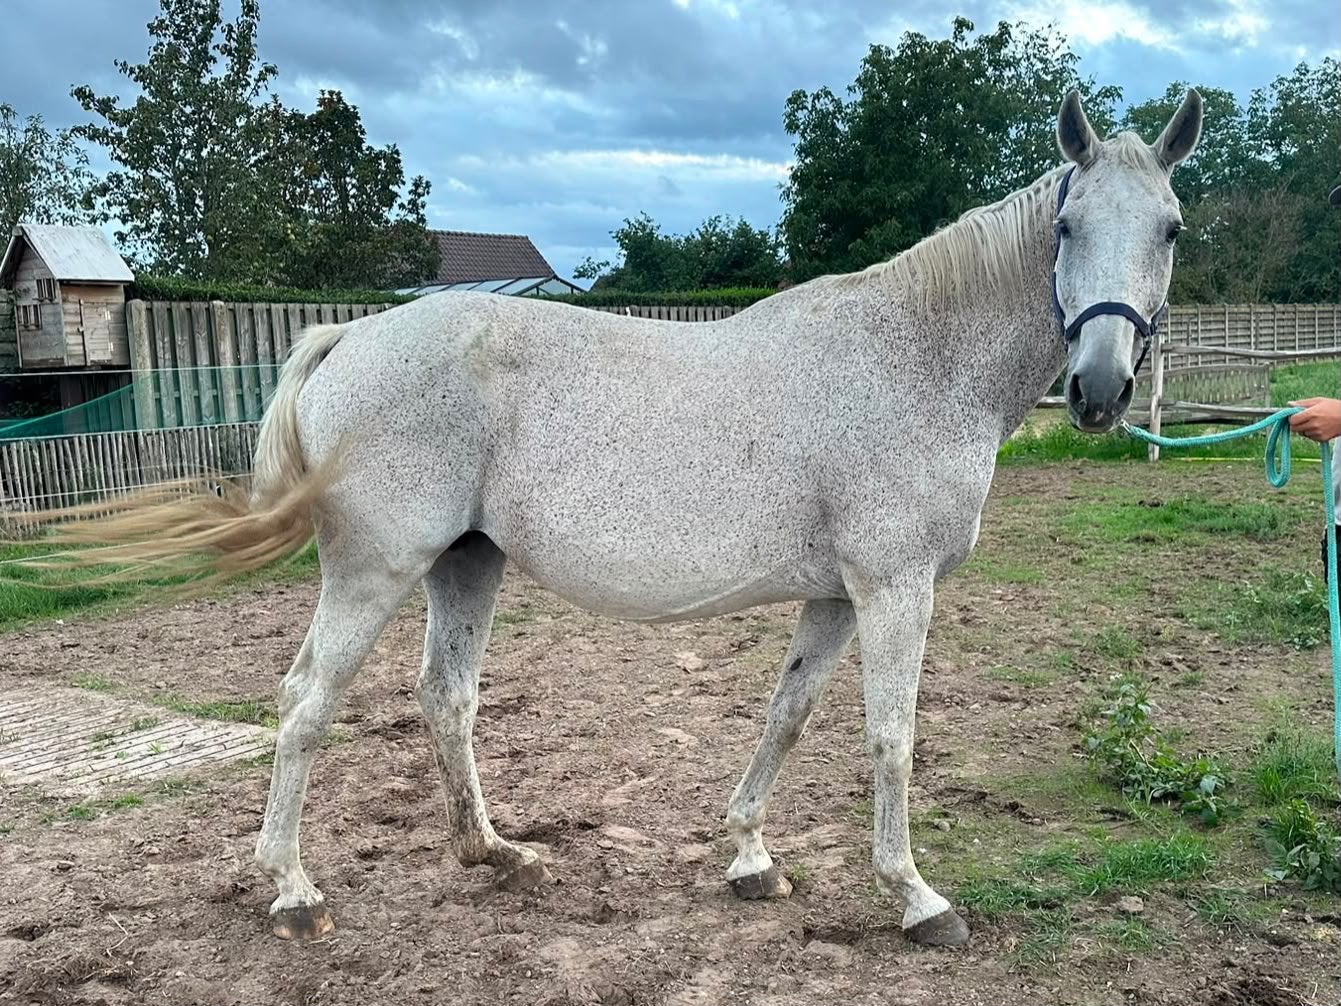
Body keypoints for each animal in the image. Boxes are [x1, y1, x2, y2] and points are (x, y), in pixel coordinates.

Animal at [38, 88, 1203, 947]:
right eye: (1065, 226)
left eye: (1171, 230)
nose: (1101, 389)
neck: (918, 360)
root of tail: (352, 337)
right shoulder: (892, 587)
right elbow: (892, 735)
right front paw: (917, 897)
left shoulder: (837, 595)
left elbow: (786, 714)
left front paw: (749, 857)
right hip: (374, 569)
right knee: (305, 702)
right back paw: (291, 888)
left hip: (467, 563)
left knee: (445, 699)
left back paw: (493, 853)